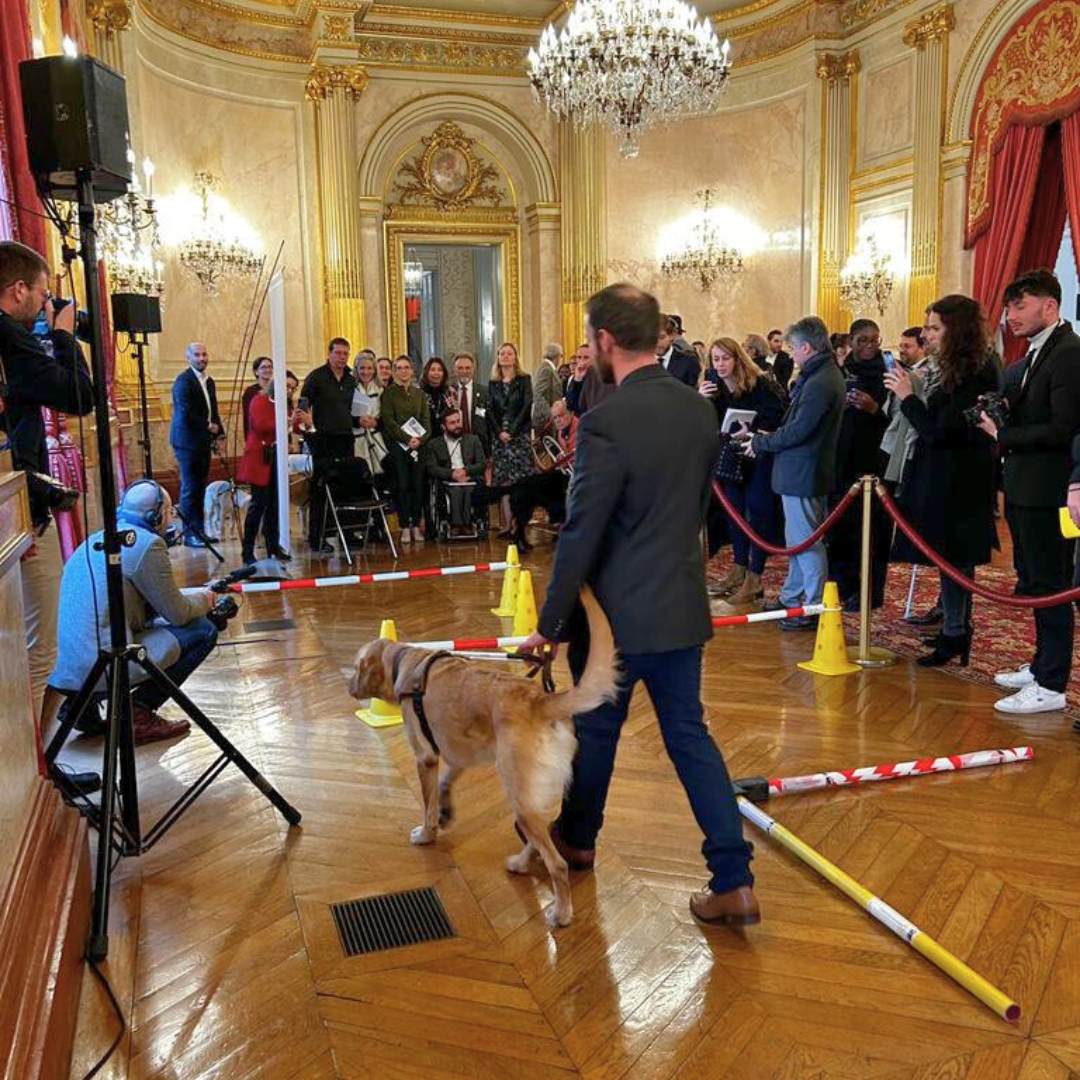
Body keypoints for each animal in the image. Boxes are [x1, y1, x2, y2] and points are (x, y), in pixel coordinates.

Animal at [347, 591, 617, 928]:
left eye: (354, 667)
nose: (348, 687)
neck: (404, 664)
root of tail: (541, 700)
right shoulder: (459, 754)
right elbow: (445, 784)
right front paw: (446, 811)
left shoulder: (425, 758)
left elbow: (427, 806)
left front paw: (426, 834)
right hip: (532, 799)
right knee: (539, 840)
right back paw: (519, 863)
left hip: (520, 796)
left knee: (557, 864)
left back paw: (561, 912)